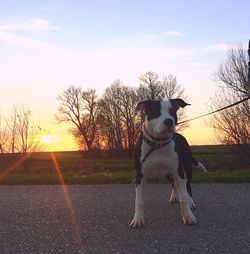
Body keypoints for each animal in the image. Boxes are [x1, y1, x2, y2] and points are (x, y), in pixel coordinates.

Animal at [130, 97, 206, 228]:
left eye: (172, 112)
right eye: (155, 112)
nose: (169, 121)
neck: (158, 144)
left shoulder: (178, 172)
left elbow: (183, 197)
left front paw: (188, 216)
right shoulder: (140, 175)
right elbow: (139, 200)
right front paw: (138, 219)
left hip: (186, 168)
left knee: (187, 186)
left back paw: (190, 202)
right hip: (168, 172)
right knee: (173, 183)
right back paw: (174, 196)